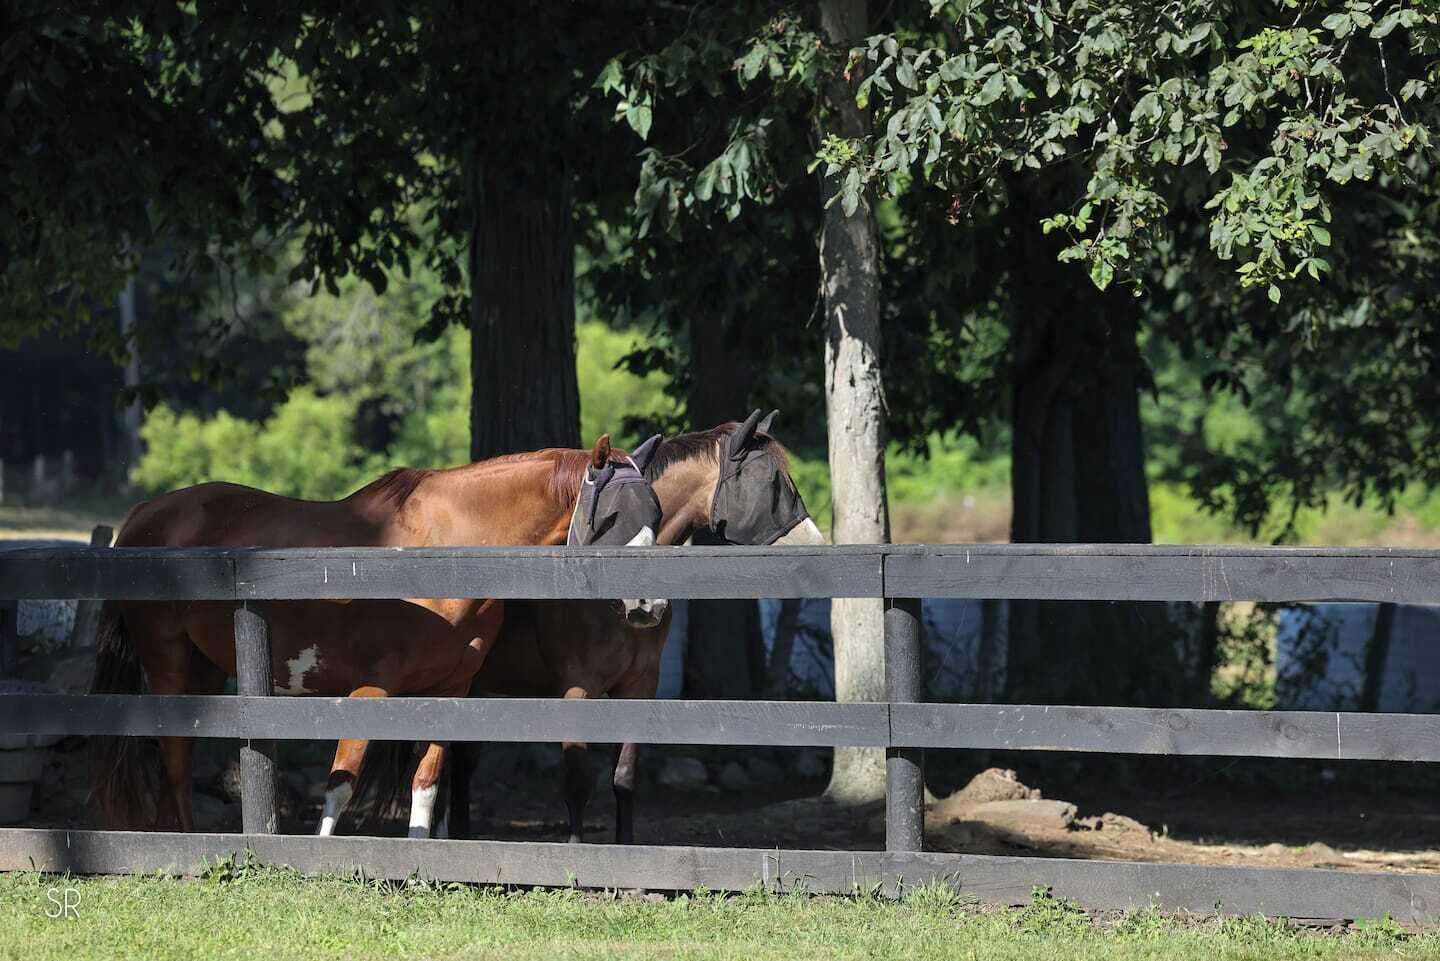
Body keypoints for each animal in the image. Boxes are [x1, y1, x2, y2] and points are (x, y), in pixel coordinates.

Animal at [89, 434, 664, 838]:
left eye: (656, 513)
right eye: (612, 517)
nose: (649, 605)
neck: (449, 550)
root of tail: (144, 514)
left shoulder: (448, 693)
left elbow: (426, 786)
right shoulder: (370, 690)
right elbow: (342, 784)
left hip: (206, 669)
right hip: (166, 659)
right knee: (173, 755)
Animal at [452, 409, 825, 843]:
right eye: (770, 483)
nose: (818, 549)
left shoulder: (638, 686)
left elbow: (625, 778)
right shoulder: (577, 688)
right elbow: (577, 782)